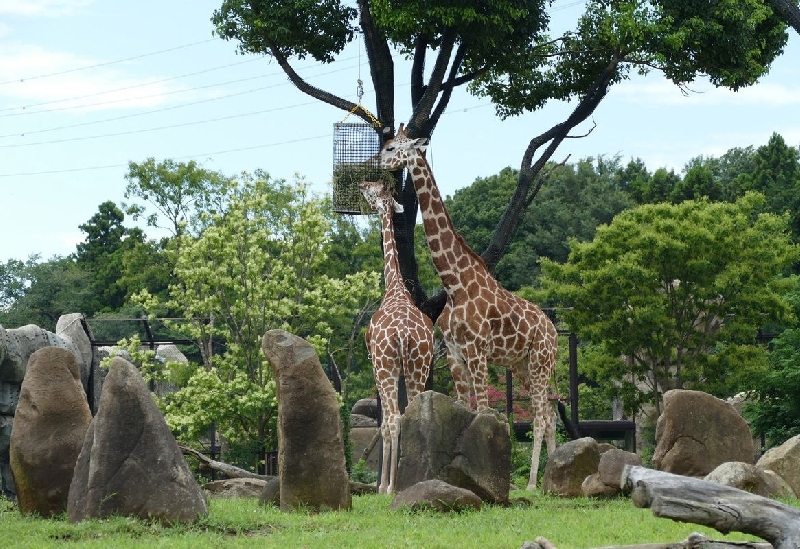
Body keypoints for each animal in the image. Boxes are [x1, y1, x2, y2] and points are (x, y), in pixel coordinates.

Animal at [376, 125, 556, 488]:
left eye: (391, 147)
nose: (376, 162)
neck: (454, 284)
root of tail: (555, 332)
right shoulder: (456, 354)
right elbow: (463, 411)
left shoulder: (477, 351)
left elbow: (484, 411)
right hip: (523, 366)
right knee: (552, 414)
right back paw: (550, 479)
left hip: (540, 362)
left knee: (542, 417)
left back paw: (533, 484)